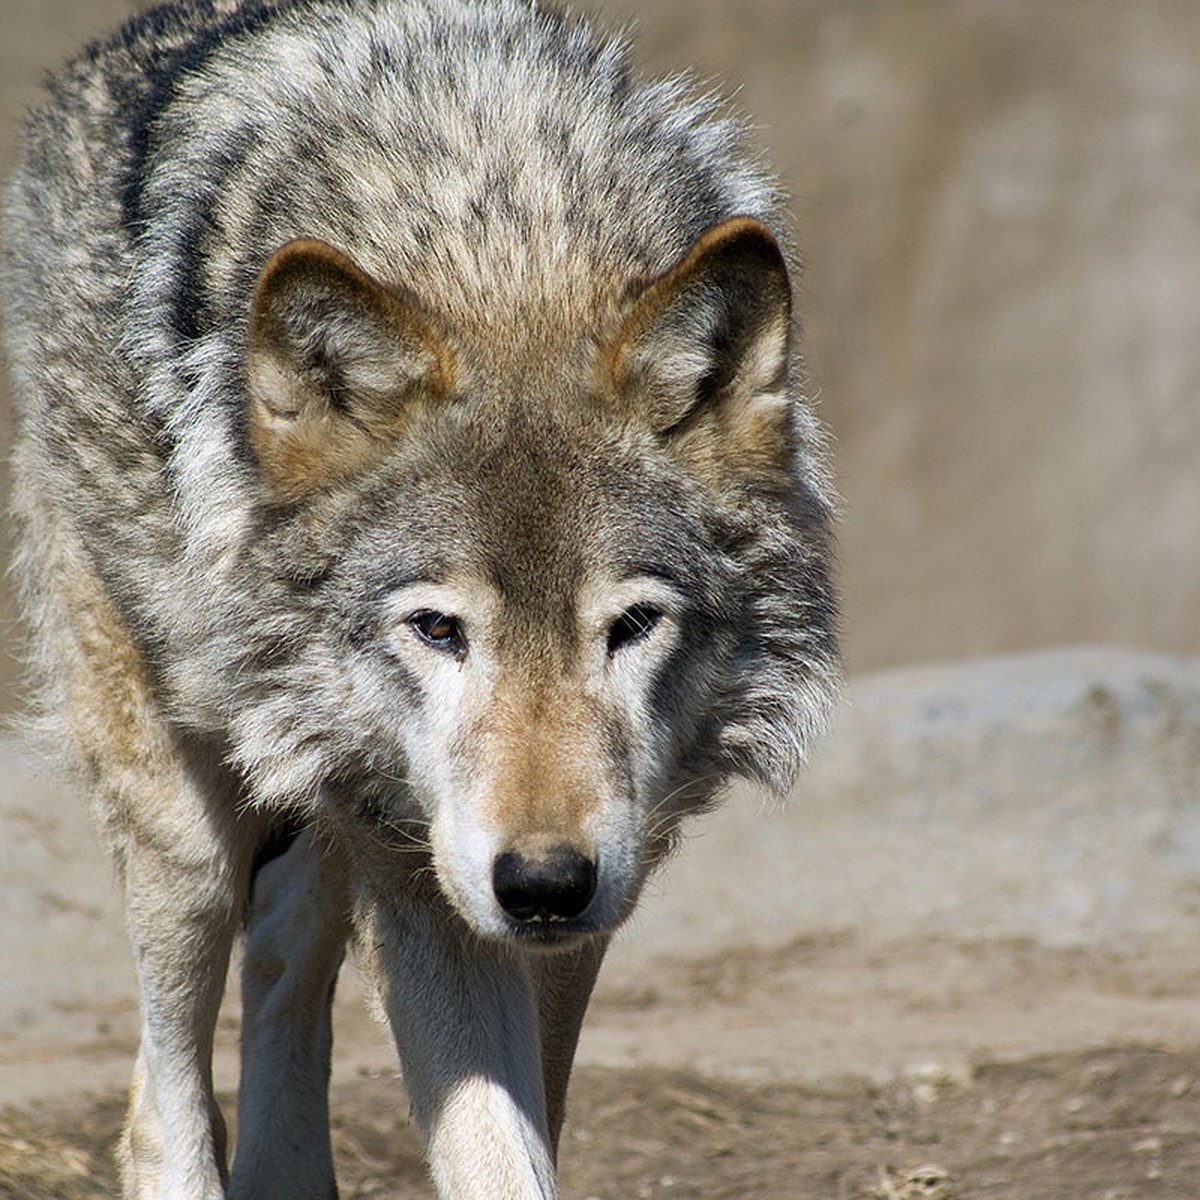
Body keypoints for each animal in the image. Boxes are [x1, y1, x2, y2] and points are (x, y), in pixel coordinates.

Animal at [4, 0, 840, 1195]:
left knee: (284, 954)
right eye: (439, 630)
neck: (509, 252)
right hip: (188, 822)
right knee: (158, 1099)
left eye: (632, 626)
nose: (542, 882)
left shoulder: (585, 888)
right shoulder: (423, 875)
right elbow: (491, 1151)